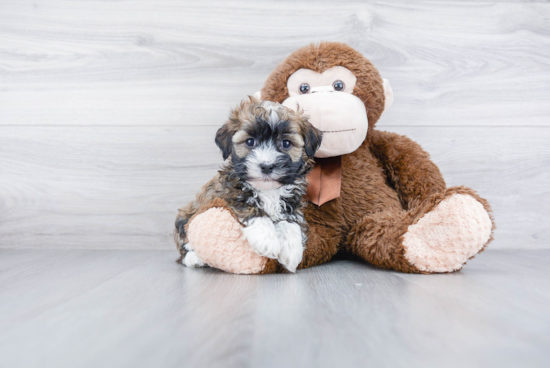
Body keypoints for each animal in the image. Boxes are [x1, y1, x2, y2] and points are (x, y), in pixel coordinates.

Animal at [175, 98, 324, 274]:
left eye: (286, 143)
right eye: (250, 142)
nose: (266, 166)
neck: (268, 190)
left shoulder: (292, 201)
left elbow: (290, 221)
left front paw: (291, 250)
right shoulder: (229, 192)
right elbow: (252, 207)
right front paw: (267, 240)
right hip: (185, 218)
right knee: (184, 246)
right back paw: (194, 258)